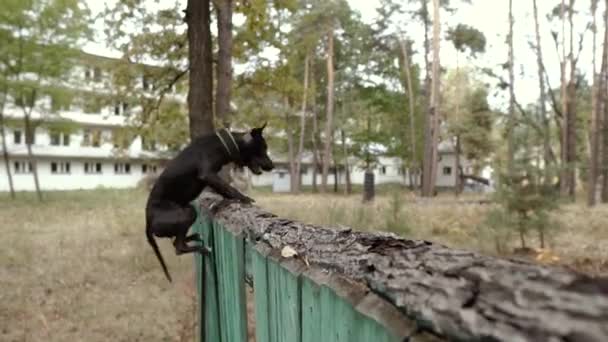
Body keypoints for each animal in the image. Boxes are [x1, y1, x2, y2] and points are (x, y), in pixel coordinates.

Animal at [145, 124, 274, 282]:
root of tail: (147, 222)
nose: (273, 165)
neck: (223, 144)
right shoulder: (208, 174)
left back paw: (196, 237)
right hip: (186, 213)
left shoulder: (212, 179)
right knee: (179, 247)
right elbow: (229, 187)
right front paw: (244, 198)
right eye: (263, 148)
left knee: (177, 241)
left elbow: (223, 190)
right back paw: (204, 249)